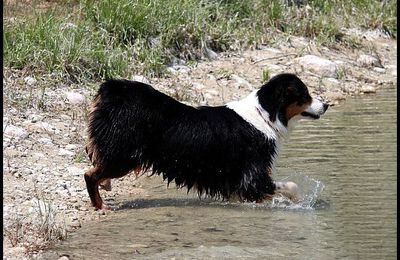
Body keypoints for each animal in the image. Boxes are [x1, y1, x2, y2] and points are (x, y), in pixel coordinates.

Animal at [84, 72, 328, 209]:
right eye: (305, 95)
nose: (326, 105)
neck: (265, 115)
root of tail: (113, 88)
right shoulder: (252, 177)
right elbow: (291, 185)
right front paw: (300, 202)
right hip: (124, 156)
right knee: (90, 175)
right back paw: (100, 206)